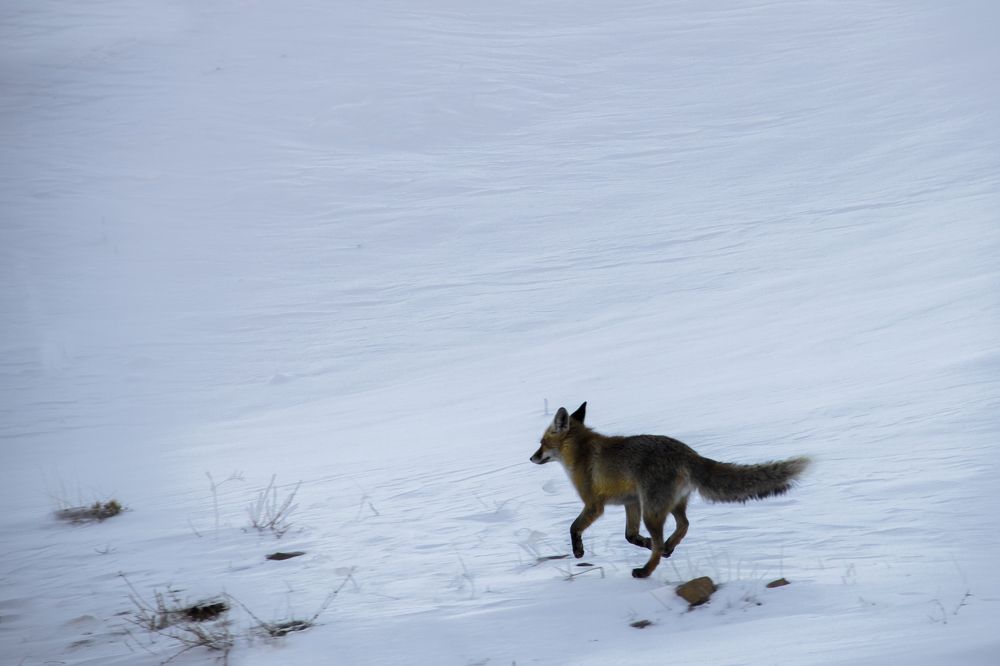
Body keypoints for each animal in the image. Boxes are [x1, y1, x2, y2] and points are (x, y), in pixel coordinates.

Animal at [530, 402, 810, 578]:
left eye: (541, 443)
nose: (531, 458)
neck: (581, 452)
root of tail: (689, 453)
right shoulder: (630, 502)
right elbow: (630, 536)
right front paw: (643, 542)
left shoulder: (594, 505)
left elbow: (574, 527)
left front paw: (578, 551)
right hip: (666, 505)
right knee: (683, 525)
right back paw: (667, 547)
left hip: (652, 511)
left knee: (664, 539)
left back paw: (645, 570)